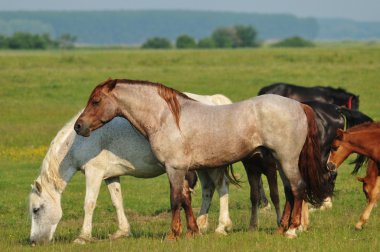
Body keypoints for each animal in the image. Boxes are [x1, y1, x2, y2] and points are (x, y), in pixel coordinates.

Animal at [28, 92, 233, 244]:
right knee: (208, 189)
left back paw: (221, 226)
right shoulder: (110, 176)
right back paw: (201, 224)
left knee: (221, 187)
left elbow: (89, 204)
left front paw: (83, 237)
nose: (33, 241)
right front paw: (122, 232)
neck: (78, 141)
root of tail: (216, 101)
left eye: (36, 210)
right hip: (203, 166)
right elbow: (117, 201)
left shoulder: (94, 173)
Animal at [73, 78, 332, 238]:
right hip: (280, 161)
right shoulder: (182, 170)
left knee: (298, 189)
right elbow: (186, 199)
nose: (78, 126)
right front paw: (193, 231)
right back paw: (282, 228)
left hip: (286, 160)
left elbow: (176, 199)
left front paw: (173, 233)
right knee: (289, 192)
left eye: (96, 101)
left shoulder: (174, 168)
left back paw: (292, 230)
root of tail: (299, 106)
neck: (166, 118)